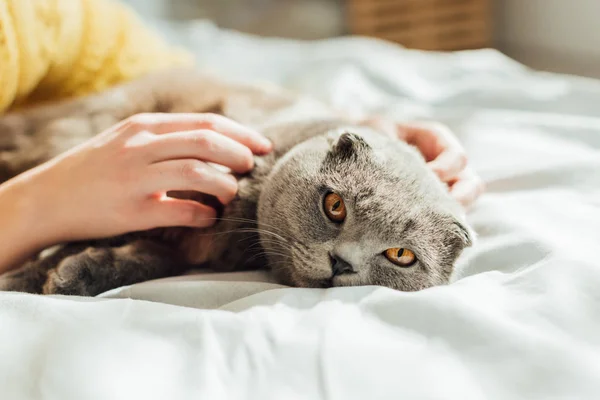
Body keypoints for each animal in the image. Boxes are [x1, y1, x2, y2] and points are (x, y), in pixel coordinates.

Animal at [0, 69, 474, 296]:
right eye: (335, 205)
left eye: (400, 256)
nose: (342, 263)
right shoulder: (146, 197)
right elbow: (79, 235)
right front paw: (23, 281)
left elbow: (153, 258)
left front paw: (72, 275)